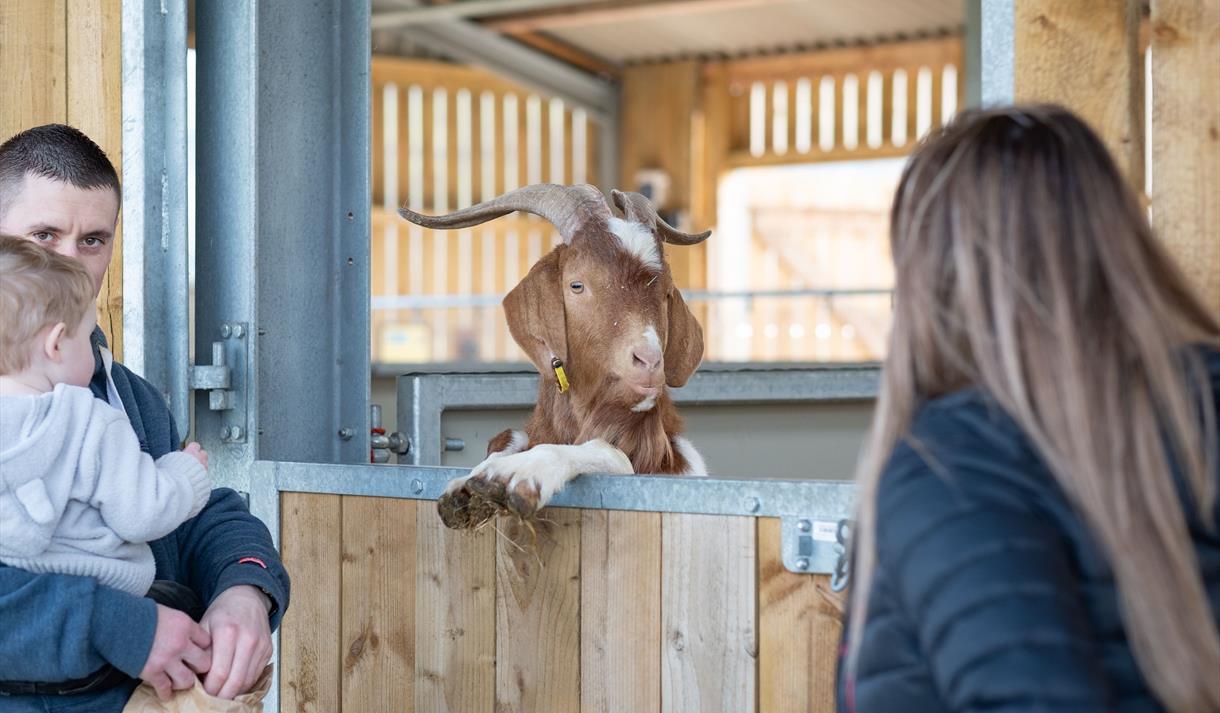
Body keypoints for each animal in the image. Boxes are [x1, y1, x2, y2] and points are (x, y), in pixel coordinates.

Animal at [395, 184, 712, 529]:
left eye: (666, 293)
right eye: (576, 285)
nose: (650, 361)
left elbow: (607, 450)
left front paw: (519, 473)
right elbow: (509, 437)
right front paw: (467, 485)